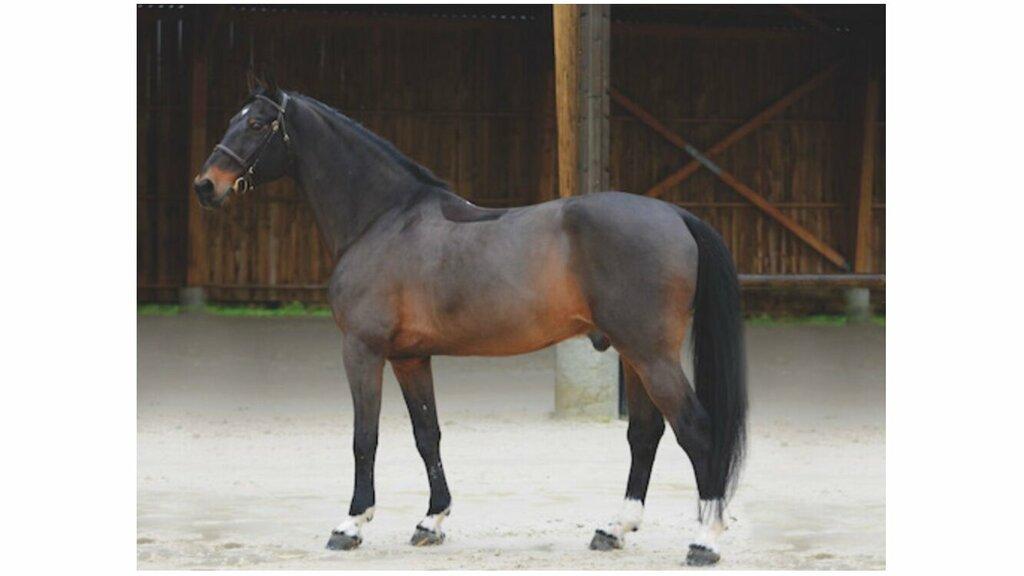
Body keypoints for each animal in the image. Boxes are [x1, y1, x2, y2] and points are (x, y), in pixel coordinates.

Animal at [193, 76, 748, 566]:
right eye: (232, 119)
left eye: (258, 123)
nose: (205, 185)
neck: (383, 219)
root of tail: (676, 216)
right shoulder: (410, 357)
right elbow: (427, 434)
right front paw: (431, 521)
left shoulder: (362, 350)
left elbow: (364, 436)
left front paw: (350, 524)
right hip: (632, 353)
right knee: (645, 433)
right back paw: (614, 529)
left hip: (651, 354)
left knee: (695, 430)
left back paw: (704, 541)